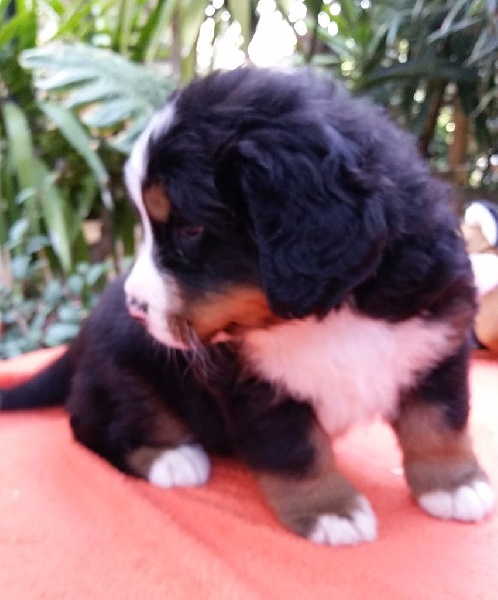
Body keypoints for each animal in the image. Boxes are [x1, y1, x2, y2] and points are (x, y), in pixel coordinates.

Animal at [1, 68, 494, 546]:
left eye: (190, 230)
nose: (136, 308)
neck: (330, 315)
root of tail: (79, 339)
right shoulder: (253, 389)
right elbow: (296, 451)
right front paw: (329, 510)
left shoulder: (439, 341)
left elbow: (439, 423)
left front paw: (454, 485)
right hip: (120, 378)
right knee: (91, 425)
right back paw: (172, 458)